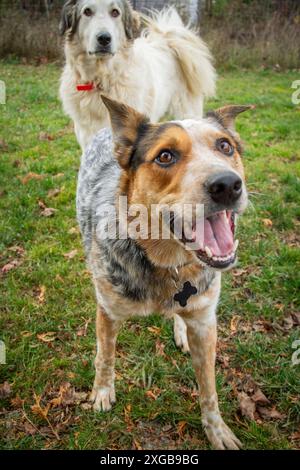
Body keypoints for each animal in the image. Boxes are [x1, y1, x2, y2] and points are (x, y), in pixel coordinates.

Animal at [76, 97, 252, 450]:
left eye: (225, 146)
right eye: (165, 156)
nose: (227, 185)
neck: (165, 262)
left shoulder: (205, 321)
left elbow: (209, 389)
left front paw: (217, 430)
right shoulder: (108, 310)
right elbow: (105, 355)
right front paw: (102, 392)